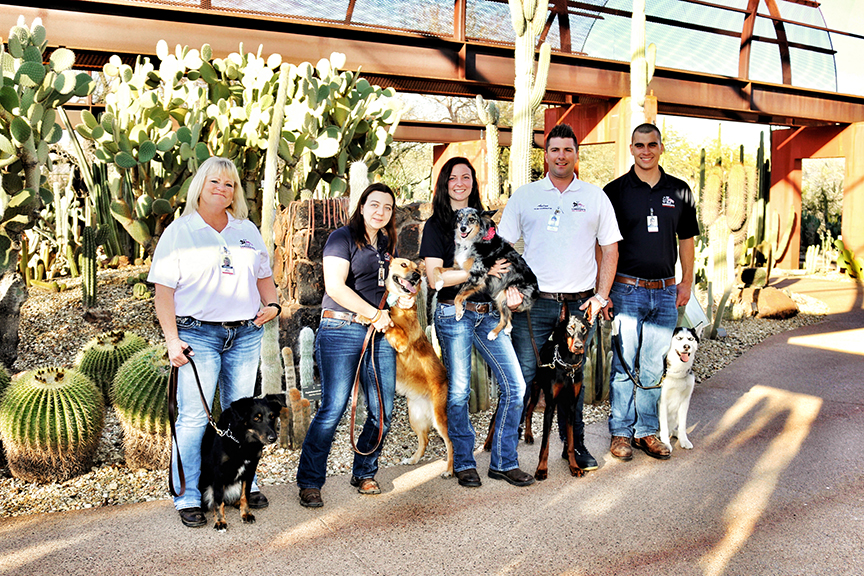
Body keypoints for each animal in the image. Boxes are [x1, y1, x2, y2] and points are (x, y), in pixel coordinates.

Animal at [200, 396, 282, 532]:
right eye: (256, 418)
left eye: (272, 416)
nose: (273, 438)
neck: (242, 441)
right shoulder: (219, 474)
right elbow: (218, 501)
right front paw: (220, 521)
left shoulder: (249, 471)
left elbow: (245, 495)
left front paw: (246, 514)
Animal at [358, 260, 456, 476]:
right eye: (403, 264)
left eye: (418, 270)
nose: (417, 276)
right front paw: (363, 315)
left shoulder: (401, 340)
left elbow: (389, 321)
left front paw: (378, 316)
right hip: (415, 417)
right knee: (424, 440)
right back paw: (413, 459)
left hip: (440, 418)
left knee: (451, 442)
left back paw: (449, 469)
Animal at [432, 207, 540, 340]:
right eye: (459, 218)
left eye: (471, 219)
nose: (462, 228)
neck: (471, 242)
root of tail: (536, 291)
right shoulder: (459, 268)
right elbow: (437, 268)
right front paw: (439, 283)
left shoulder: (478, 275)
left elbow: (458, 295)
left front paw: (458, 312)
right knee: (508, 315)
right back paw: (508, 328)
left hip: (503, 295)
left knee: (504, 318)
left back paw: (493, 333)